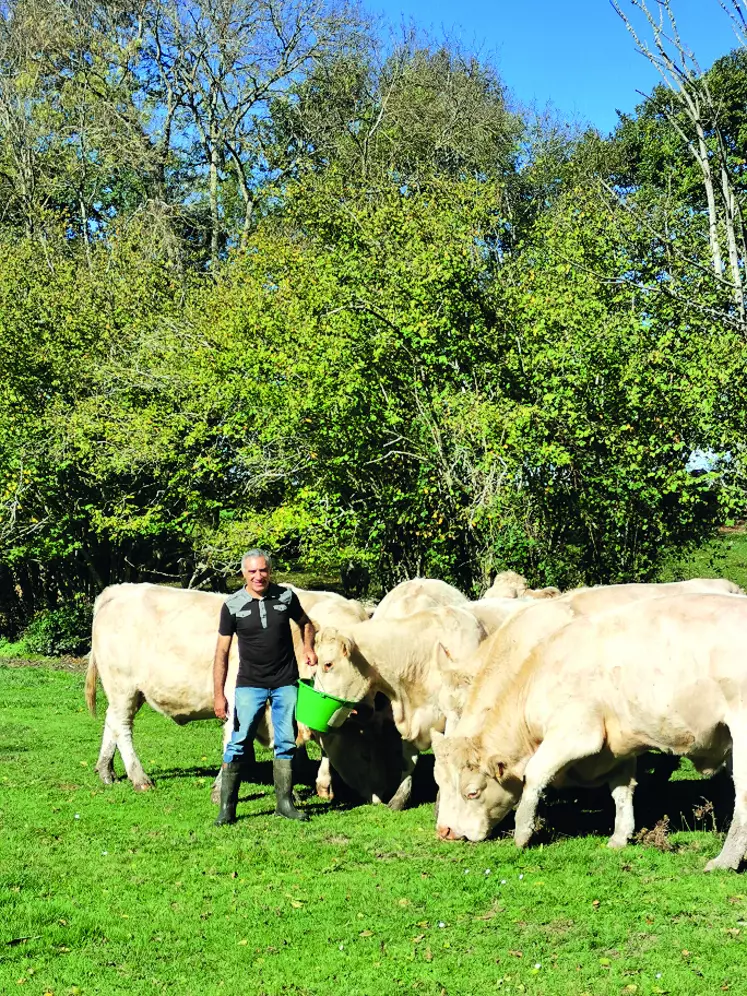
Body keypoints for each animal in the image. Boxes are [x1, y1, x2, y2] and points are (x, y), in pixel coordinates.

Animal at [430, 592, 747, 872]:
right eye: (439, 782)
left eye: (472, 792)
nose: (445, 831)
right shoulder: (618, 745)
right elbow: (621, 790)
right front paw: (620, 837)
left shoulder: (576, 732)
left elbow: (534, 774)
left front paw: (522, 833)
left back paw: (725, 861)